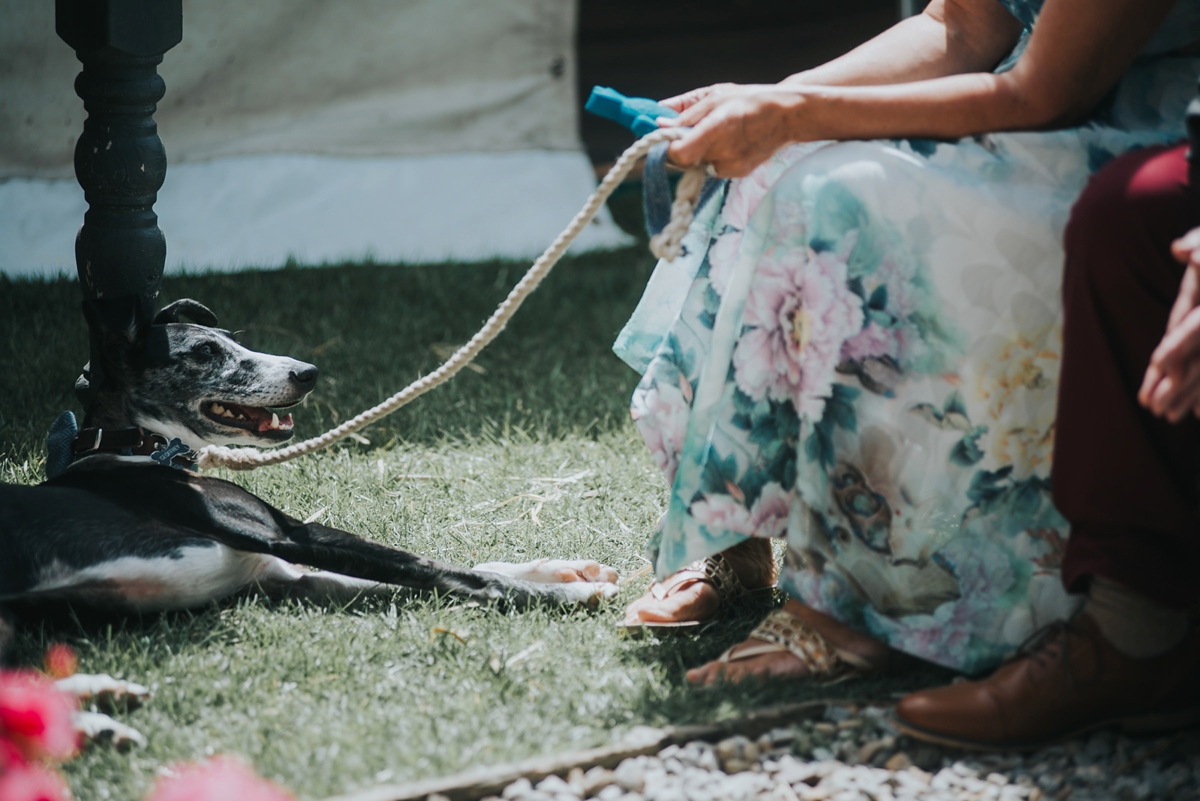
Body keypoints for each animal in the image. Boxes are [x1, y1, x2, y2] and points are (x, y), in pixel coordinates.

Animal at [2, 302, 619, 743]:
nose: (309, 372)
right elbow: (449, 570)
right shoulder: (286, 536)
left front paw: (561, 571)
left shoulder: (280, 573)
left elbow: (452, 566)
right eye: (203, 351)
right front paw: (562, 596)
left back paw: (99, 705)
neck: (133, 448)